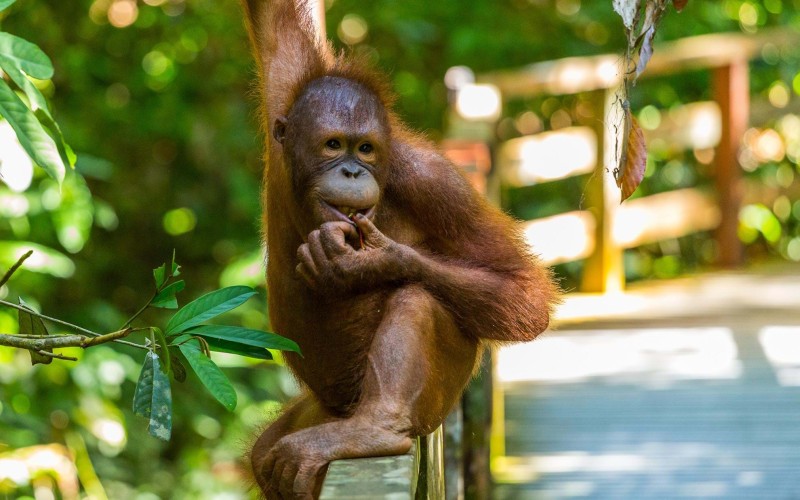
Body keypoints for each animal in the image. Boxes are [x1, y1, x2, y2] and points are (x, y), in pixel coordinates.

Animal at [240, 1, 559, 497]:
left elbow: (524, 294)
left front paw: (372, 263)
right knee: (266, 455)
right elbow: (277, 18)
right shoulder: (283, 92)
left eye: (366, 149)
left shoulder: (433, 183)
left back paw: (375, 429)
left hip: (433, 404)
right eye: (334, 145)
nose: (353, 171)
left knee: (421, 295)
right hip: (321, 411)